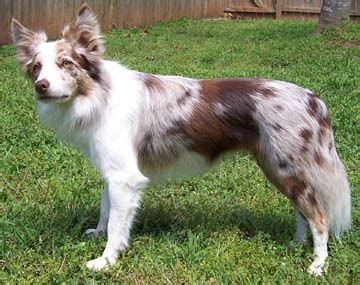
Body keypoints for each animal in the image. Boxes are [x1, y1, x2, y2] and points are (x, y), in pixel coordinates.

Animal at [9, 3, 350, 274]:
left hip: (287, 167)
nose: (40, 86)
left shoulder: (125, 178)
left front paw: (106, 260)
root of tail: (313, 98)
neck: (96, 94)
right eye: (36, 67)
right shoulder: (112, 172)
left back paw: (318, 264)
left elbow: (117, 225)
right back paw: (296, 243)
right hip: (279, 168)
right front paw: (96, 233)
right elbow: (106, 210)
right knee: (302, 210)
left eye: (67, 63)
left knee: (319, 216)